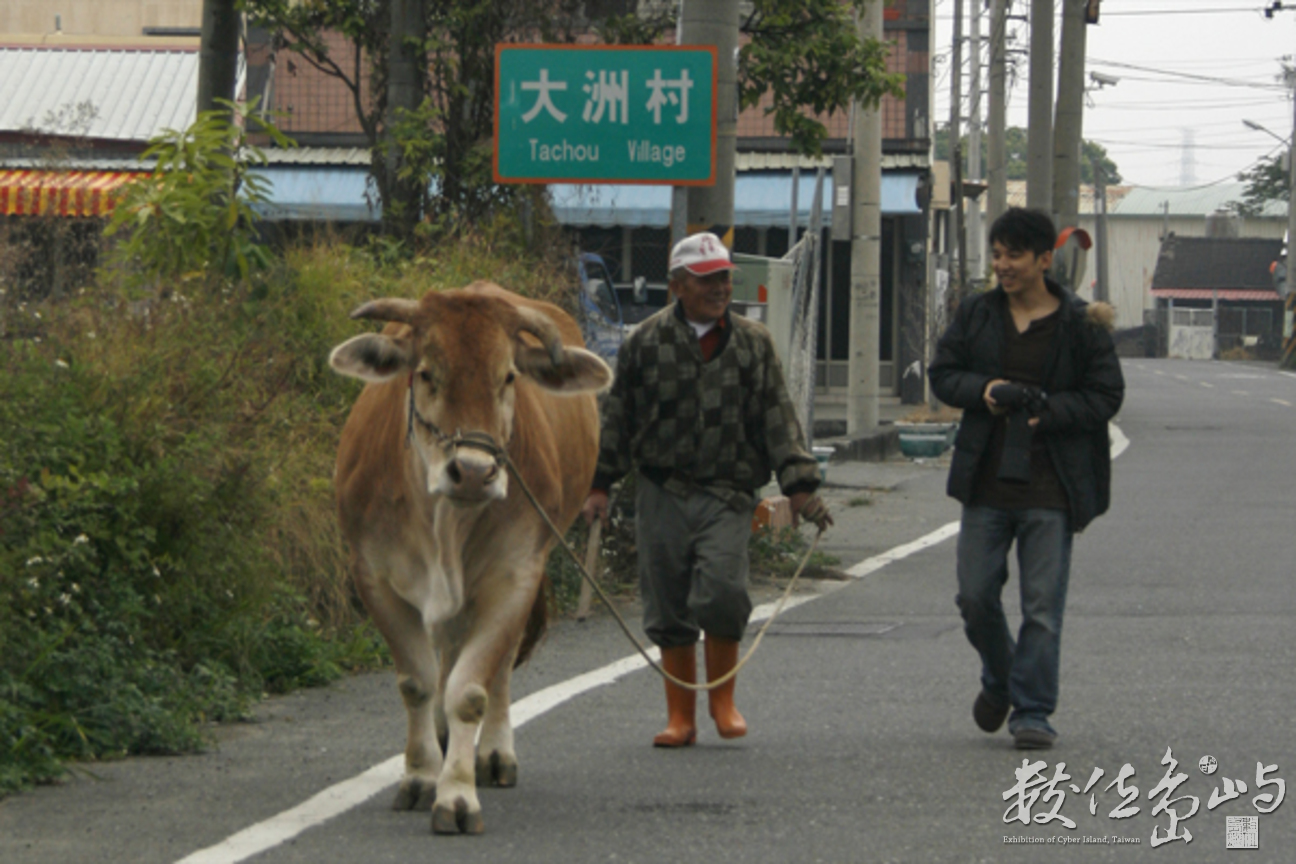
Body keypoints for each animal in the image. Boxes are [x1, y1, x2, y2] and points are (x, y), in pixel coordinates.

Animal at [328, 282, 612, 834]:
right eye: (425, 373)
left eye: (509, 377)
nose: (475, 472)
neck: (442, 520)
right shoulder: (373, 576)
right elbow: (417, 682)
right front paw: (421, 778)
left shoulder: (514, 576)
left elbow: (471, 690)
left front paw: (457, 794)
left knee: (492, 671)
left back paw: (494, 755)